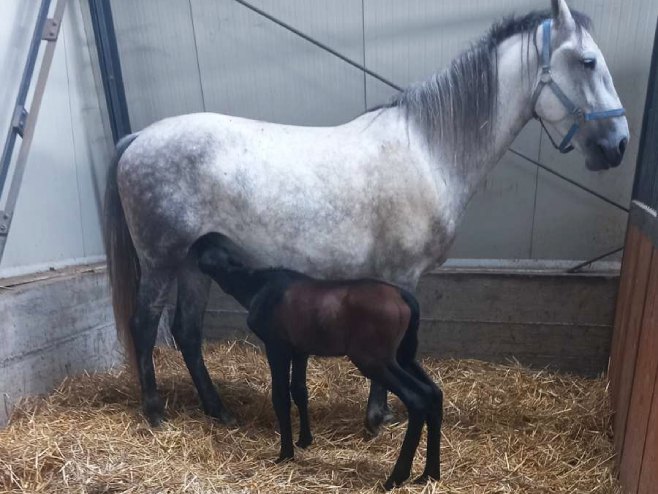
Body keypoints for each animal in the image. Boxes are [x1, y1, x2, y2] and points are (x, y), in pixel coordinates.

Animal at [102, 0, 624, 428]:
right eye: (588, 62)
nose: (617, 145)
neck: (429, 152)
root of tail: (139, 138)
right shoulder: (402, 275)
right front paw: (380, 415)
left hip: (195, 262)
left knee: (187, 333)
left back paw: (218, 411)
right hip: (162, 260)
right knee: (145, 325)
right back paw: (155, 413)